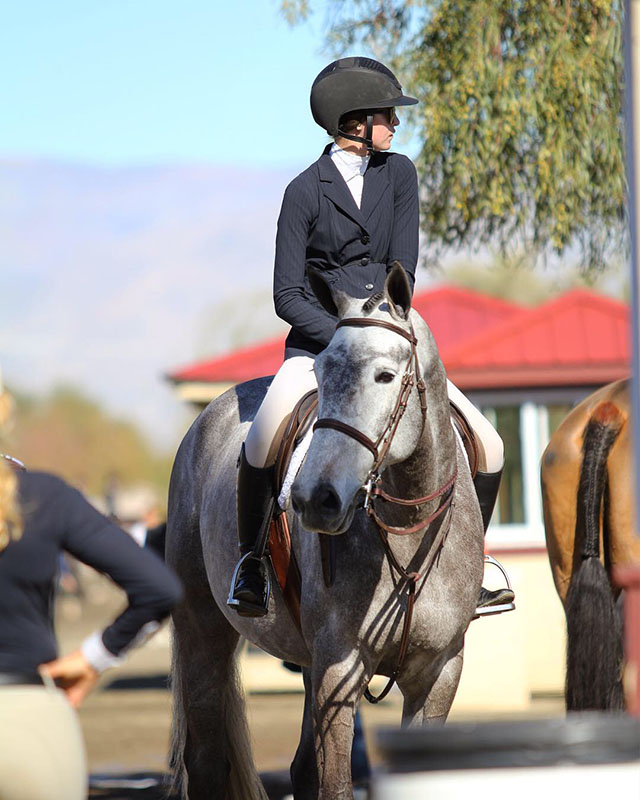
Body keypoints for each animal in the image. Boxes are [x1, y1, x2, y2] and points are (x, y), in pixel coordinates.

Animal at [165, 263, 484, 799]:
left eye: (385, 375)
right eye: (319, 372)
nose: (315, 499)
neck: (406, 534)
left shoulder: (439, 673)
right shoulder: (339, 669)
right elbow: (336, 784)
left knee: (299, 768)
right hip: (202, 629)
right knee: (206, 761)